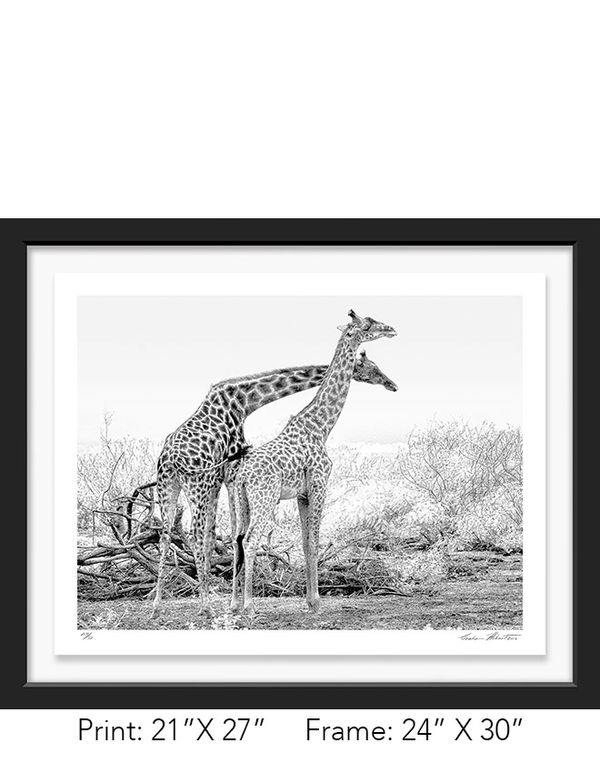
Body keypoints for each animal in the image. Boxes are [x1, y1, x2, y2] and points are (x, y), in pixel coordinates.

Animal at [153, 348, 396, 617]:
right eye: (373, 367)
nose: (391, 384)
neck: (244, 401)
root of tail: (171, 459)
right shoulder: (229, 470)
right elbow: (225, 535)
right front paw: (231, 601)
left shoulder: (226, 476)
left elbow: (227, 535)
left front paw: (233, 601)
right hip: (199, 486)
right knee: (196, 535)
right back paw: (205, 606)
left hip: (168, 487)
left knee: (166, 534)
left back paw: (157, 605)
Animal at [230, 310, 397, 614]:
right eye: (368, 323)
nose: (392, 329)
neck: (320, 426)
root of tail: (243, 474)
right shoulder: (320, 483)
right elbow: (315, 540)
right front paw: (317, 601)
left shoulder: (302, 493)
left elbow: (306, 542)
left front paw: (309, 600)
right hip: (265, 498)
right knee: (250, 540)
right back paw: (249, 606)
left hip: (242, 501)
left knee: (236, 540)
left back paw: (234, 605)